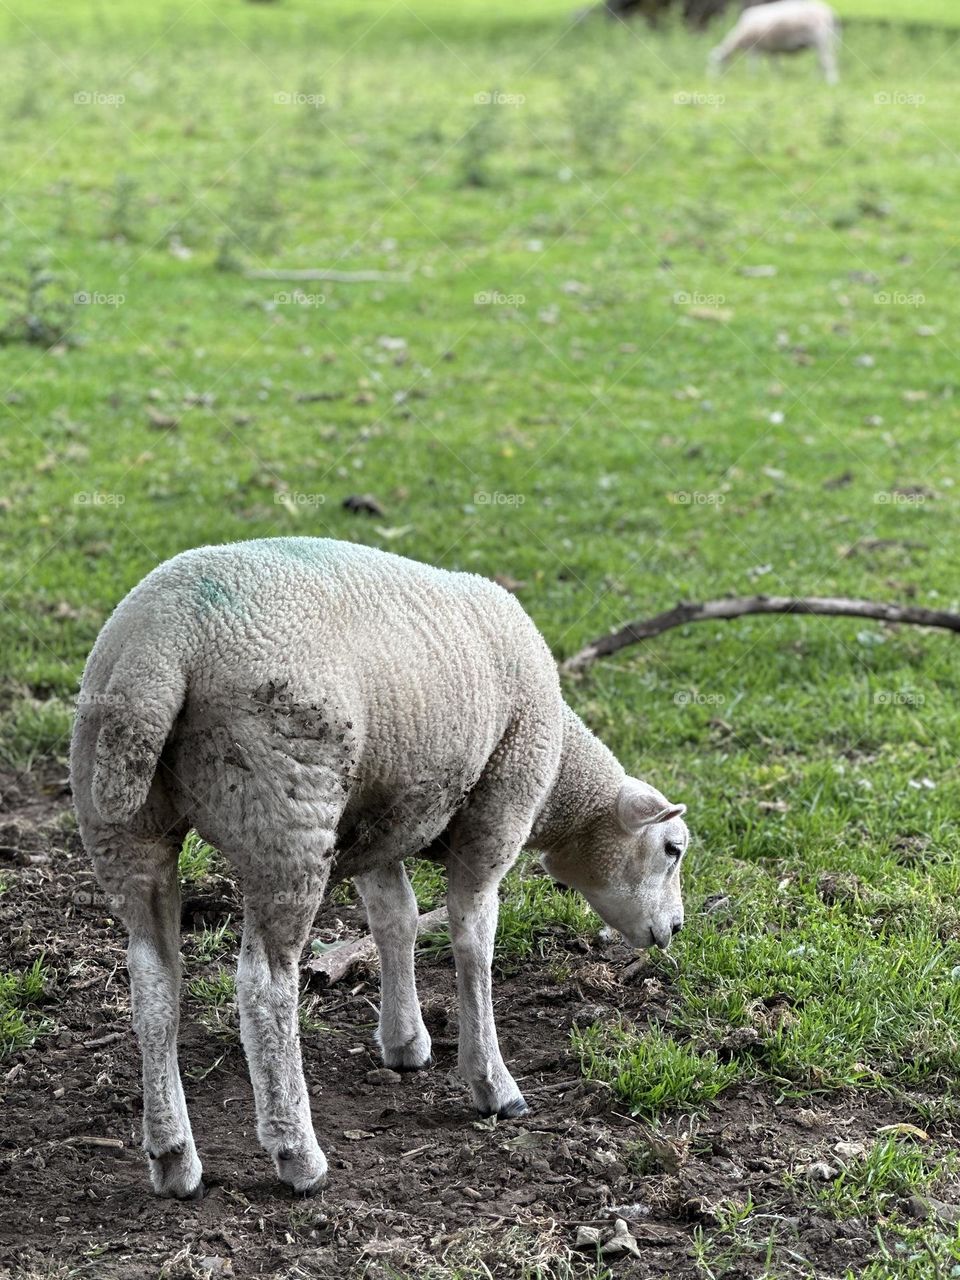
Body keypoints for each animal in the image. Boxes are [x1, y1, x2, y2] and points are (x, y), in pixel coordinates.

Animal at [70, 537, 689, 1200]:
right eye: (673, 849)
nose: (676, 929)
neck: (560, 784)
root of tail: (161, 646)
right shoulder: (498, 810)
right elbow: (474, 939)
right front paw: (492, 1083)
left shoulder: (379, 822)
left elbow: (397, 919)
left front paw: (405, 1041)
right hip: (289, 812)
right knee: (264, 984)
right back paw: (297, 1152)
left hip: (122, 822)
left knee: (153, 980)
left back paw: (173, 1158)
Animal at [708, 1, 839, 84]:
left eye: (715, 63)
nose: (711, 80)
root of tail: (829, 12)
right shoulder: (772, 50)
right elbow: (775, 65)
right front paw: (776, 78)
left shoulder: (753, 48)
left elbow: (752, 65)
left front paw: (752, 78)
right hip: (819, 42)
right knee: (821, 62)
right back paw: (816, 80)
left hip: (820, 39)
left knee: (828, 61)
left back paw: (832, 82)